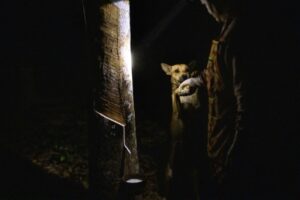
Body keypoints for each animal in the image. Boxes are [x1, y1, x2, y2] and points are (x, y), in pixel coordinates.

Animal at [161, 62, 205, 198]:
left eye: (187, 70)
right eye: (176, 71)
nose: (185, 76)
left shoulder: (197, 107)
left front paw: (194, 75)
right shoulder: (178, 113)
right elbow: (175, 94)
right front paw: (179, 90)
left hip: (194, 172)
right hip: (169, 172)